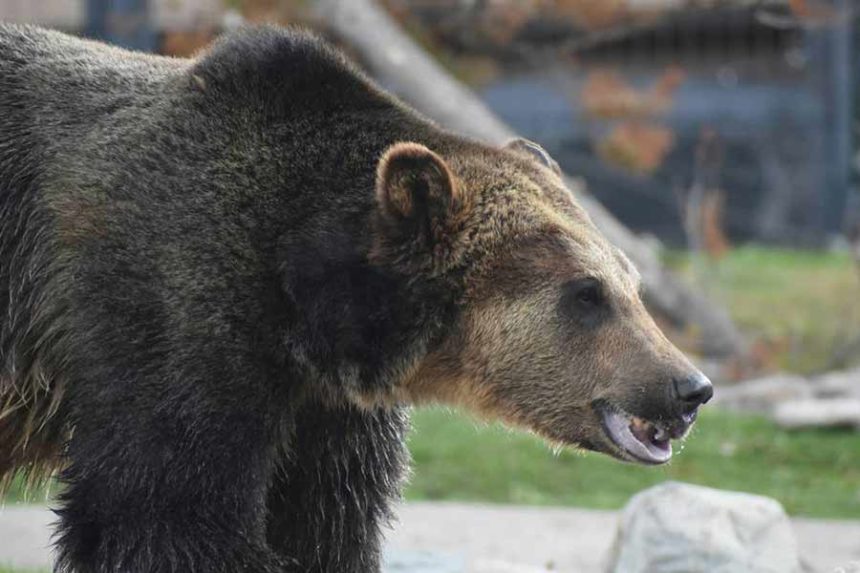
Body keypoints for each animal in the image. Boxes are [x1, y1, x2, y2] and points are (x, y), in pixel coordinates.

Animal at [0, 23, 713, 573]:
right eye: (586, 293)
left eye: (631, 284)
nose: (689, 387)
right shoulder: (167, 308)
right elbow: (164, 513)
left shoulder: (326, 413)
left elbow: (328, 524)